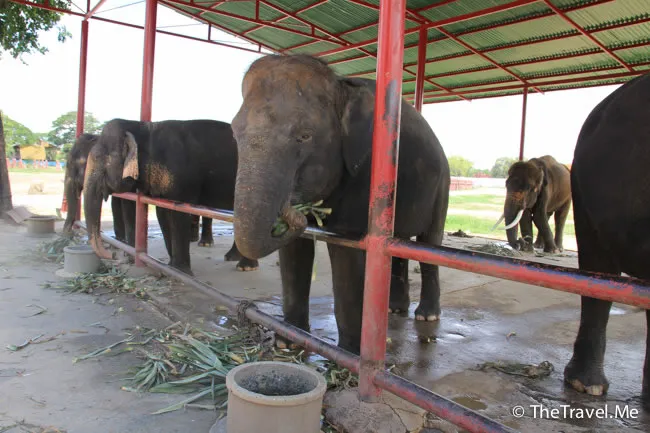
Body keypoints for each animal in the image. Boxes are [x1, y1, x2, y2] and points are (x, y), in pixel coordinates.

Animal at [83, 118, 259, 274]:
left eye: (99, 159)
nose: (111, 254)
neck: (144, 127)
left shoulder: (182, 180)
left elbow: (178, 215)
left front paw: (183, 272)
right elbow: (162, 213)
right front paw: (171, 267)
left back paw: (246, 267)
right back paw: (234, 259)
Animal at [230, 54, 450, 354]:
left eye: (305, 135)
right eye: (234, 132)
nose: (294, 214)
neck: (341, 84)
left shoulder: (366, 172)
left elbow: (346, 253)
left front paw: (348, 353)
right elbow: (294, 252)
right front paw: (288, 341)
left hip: (442, 187)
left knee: (430, 243)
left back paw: (426, 316)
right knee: (400, 244)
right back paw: (394, 309)